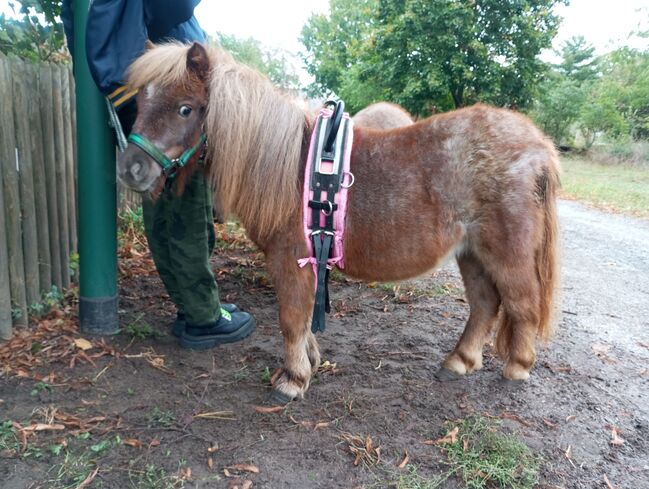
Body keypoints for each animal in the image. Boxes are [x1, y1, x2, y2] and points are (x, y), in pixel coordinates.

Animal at [119, 43, 560, 400]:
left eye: (185, 108)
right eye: (139, 102)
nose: (130, 169)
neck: (288, 167)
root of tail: (538, 146)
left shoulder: (290, 259)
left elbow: (290, 319)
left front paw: (293, 379)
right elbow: (304, 320)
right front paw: (309, 362)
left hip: (506, 253)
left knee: (521, 304)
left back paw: (517, 367)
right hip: (471, 253)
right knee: (485, 304)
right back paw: (460, 361)